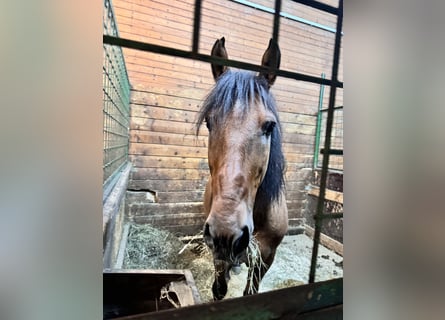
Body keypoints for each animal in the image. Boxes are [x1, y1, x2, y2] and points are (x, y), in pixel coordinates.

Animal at [195, 37, 288, 300]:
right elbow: (219, 289)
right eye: (209, 122)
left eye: (269, 126)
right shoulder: (218, 253)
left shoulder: (264, 258)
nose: (227, 231)